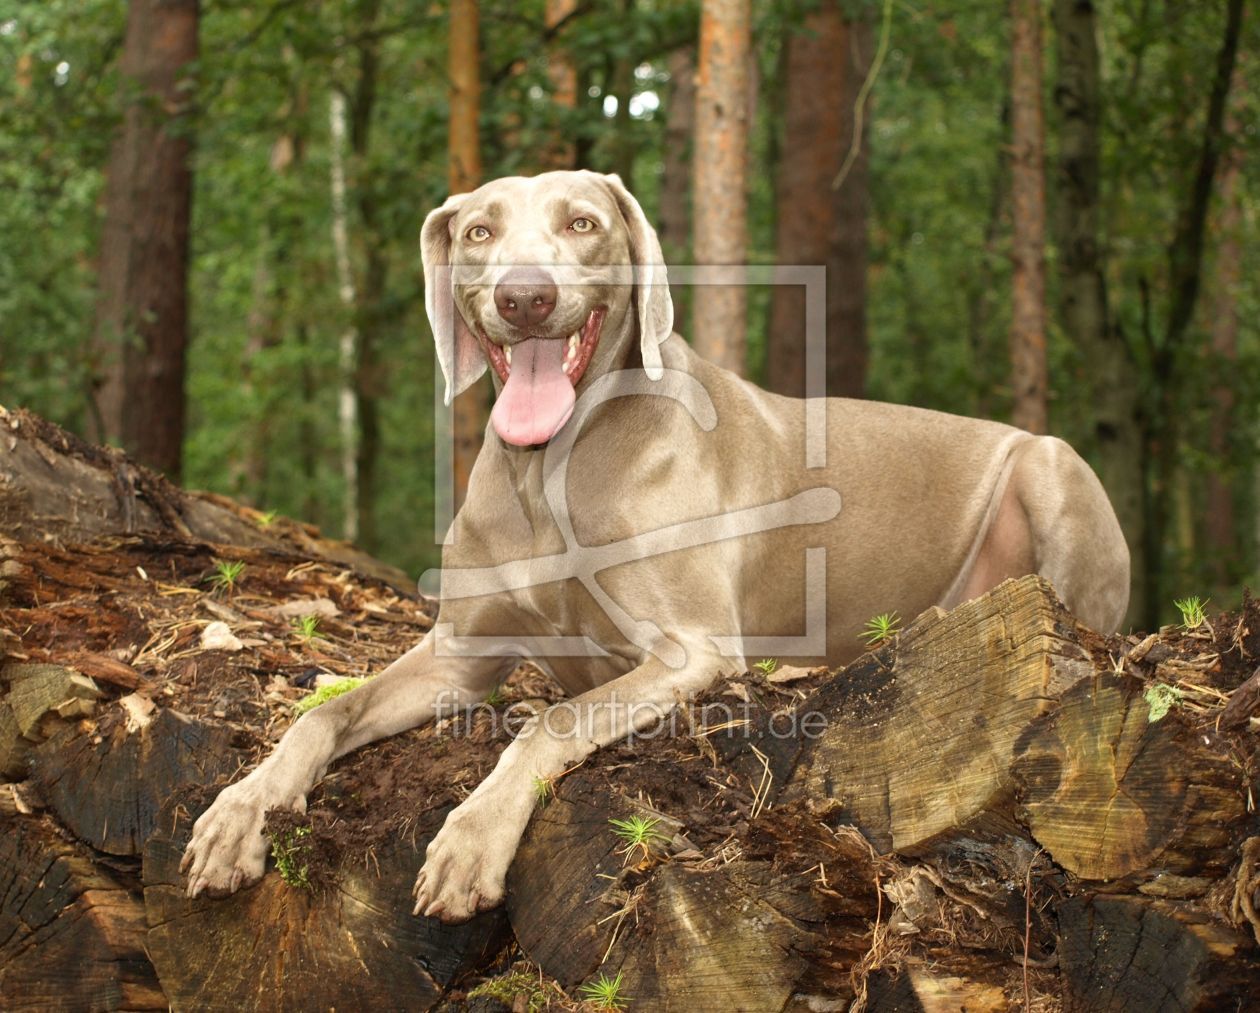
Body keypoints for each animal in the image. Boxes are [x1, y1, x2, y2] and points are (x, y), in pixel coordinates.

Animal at [180, 167, 1134, 927]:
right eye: (480, 230)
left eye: (582, 223)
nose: (524, 297)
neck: (550, 473)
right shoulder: (459, 654)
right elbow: (322, 713)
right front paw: (241, 811)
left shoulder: (690, 650)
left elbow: (547, 721)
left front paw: (471, 839)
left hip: (1052, 462)